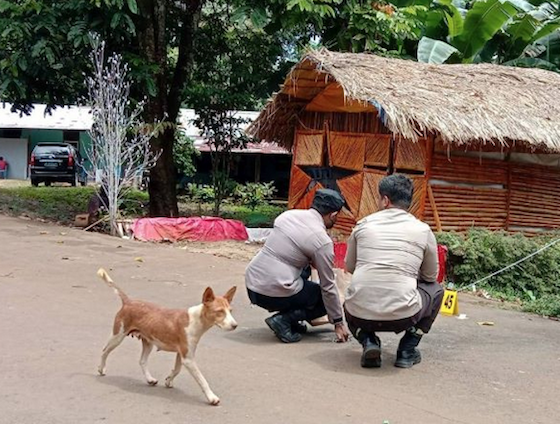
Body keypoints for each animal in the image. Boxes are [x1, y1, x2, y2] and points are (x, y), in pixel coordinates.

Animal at [96, 268, 236, 404]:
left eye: (230, 311)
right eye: (219, 312)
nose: (235, 325)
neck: (195, 319)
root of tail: (128, 301)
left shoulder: (182, 354)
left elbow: (177, 369)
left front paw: (169, 380)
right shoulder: (188, 358)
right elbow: (202, 380)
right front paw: (211, 397)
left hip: (148, 342)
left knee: (142, 361)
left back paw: (149, 379)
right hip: (117, 336)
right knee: (104, 351)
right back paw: (101, 368)